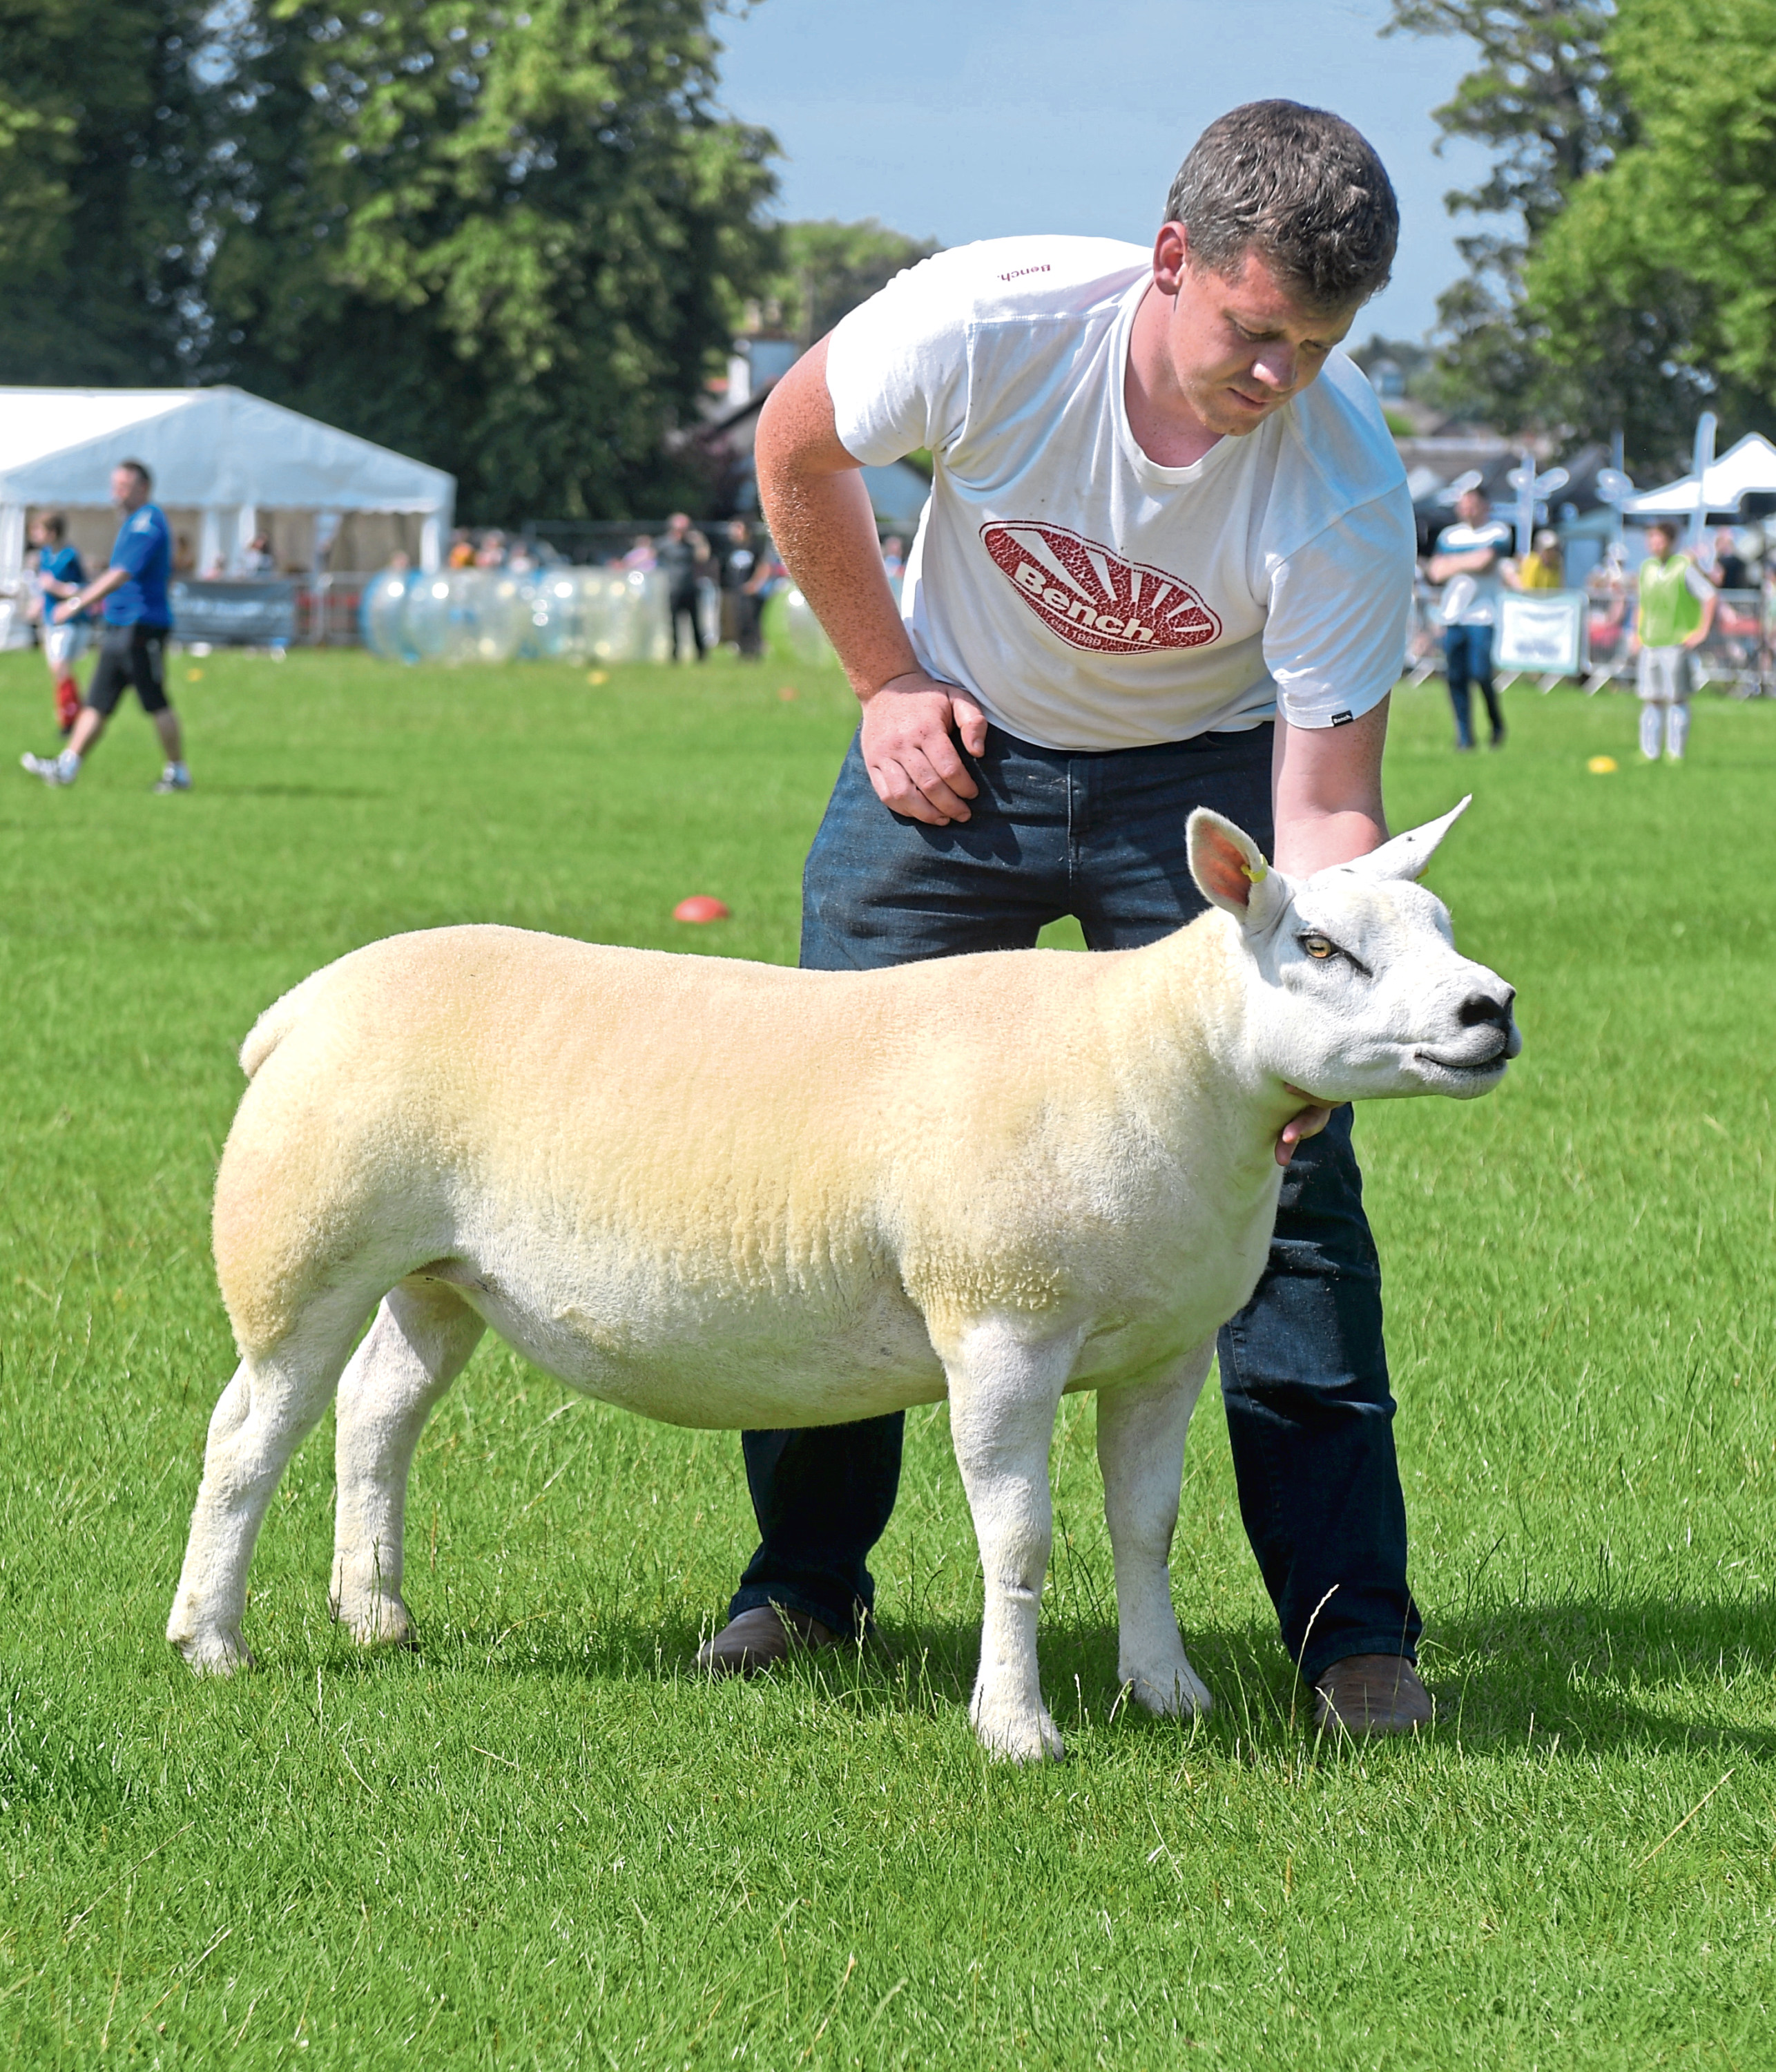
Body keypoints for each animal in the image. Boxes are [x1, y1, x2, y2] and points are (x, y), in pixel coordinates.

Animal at [173, 800, 1516, 1757]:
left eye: (1444, 927)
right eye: (1320, 947)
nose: (1490, 1008)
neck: (1156, 1062)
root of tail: (304, 1004)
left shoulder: (1166, 1351)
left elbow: (1148, 1524)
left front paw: (1167, 1689)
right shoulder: (1000, 1327)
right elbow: (1020, 1537)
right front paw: (1016, 1728)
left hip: (440, 1274)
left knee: (376, 1414)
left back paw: (373, 1612)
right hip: (305, 1245)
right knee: (247, 1434)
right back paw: (211, 1640)